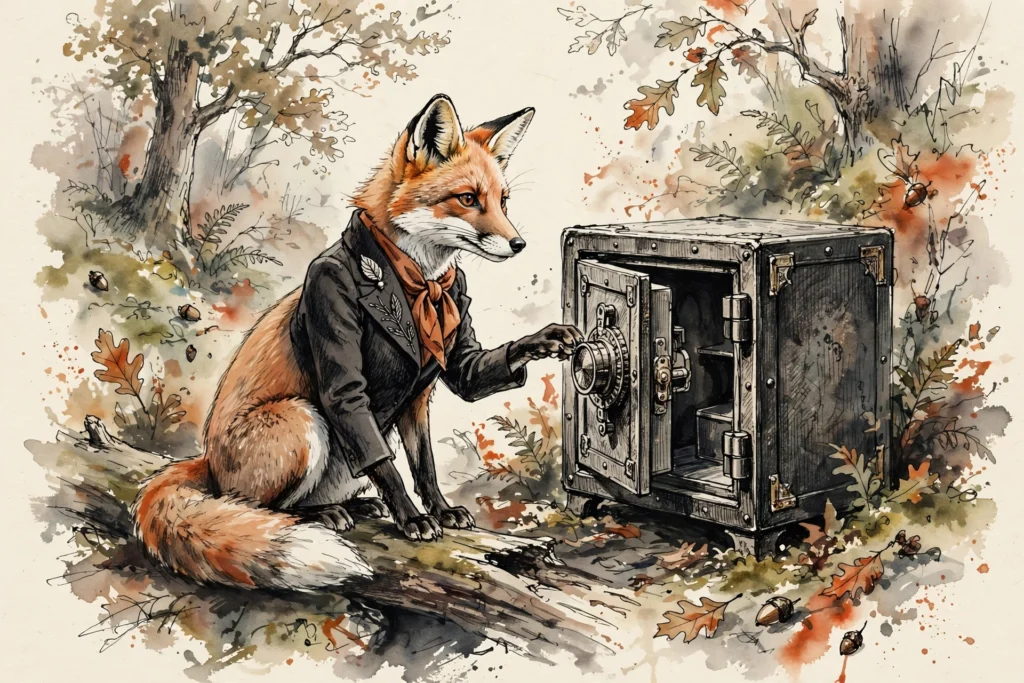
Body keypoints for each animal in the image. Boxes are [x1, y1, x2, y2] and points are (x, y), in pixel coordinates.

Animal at [131, 94, 583, 591]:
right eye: (468, 199)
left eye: (503, 202)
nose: (519, 244)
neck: (421, 284)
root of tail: (207, 462)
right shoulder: (344, 367)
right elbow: (388, 465)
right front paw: (413, 519)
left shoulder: (419, 396)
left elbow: (427, 461)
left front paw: (440, 510)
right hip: (302, 420)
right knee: (261, 507)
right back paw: (325, 514)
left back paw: (354, 505)